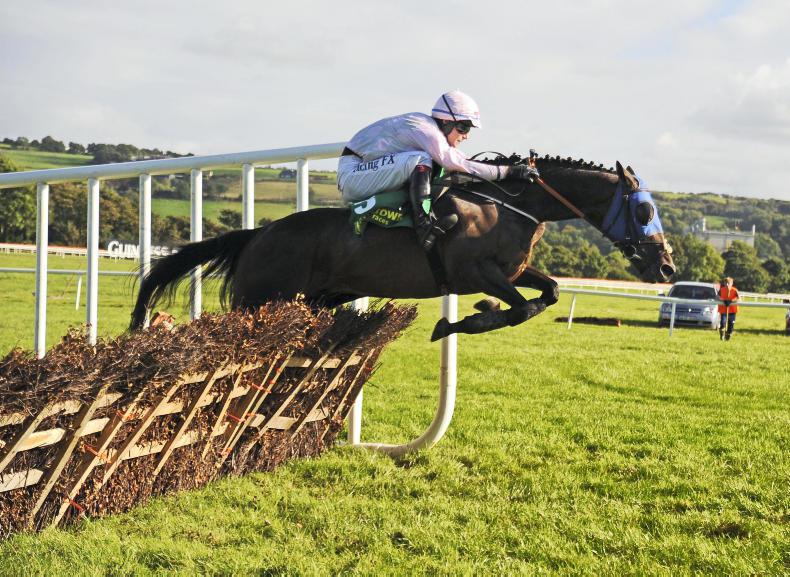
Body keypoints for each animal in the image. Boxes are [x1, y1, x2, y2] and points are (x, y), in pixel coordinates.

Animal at [130, 154, 676, 340]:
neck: (508, 204)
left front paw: (474, 316)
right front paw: (466, 320)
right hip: (259, 298)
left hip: (310, 300)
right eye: (645, 211)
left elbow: (550, 294)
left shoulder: (513, 270)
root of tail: (258, 235)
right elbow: (519, 309)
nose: (667, 267)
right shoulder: (473, 270)